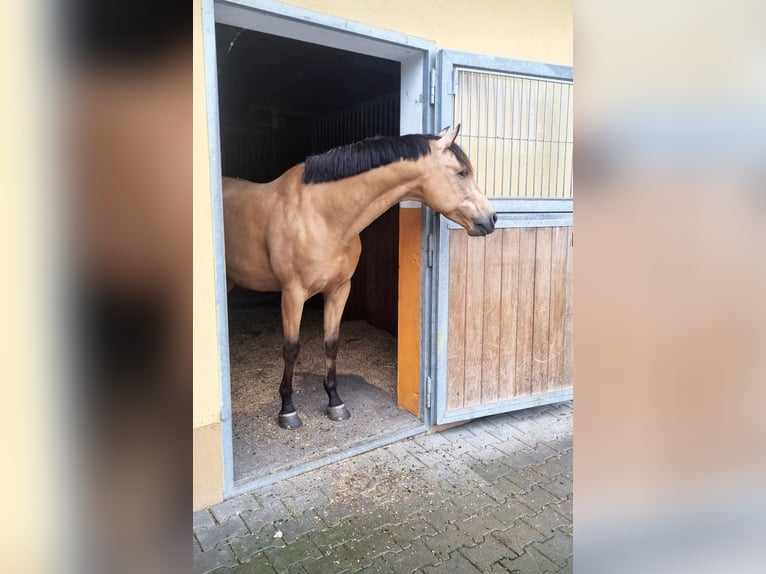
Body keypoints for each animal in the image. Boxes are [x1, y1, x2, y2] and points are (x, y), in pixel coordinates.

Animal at [222, 126, 498, 432]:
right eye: (461, 173)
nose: (491, 219)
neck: (321, 215)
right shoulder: (292, 294)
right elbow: (291, 349)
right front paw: (288, 410)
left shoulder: (339, 290)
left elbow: (331, 344)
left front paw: (335, 403)